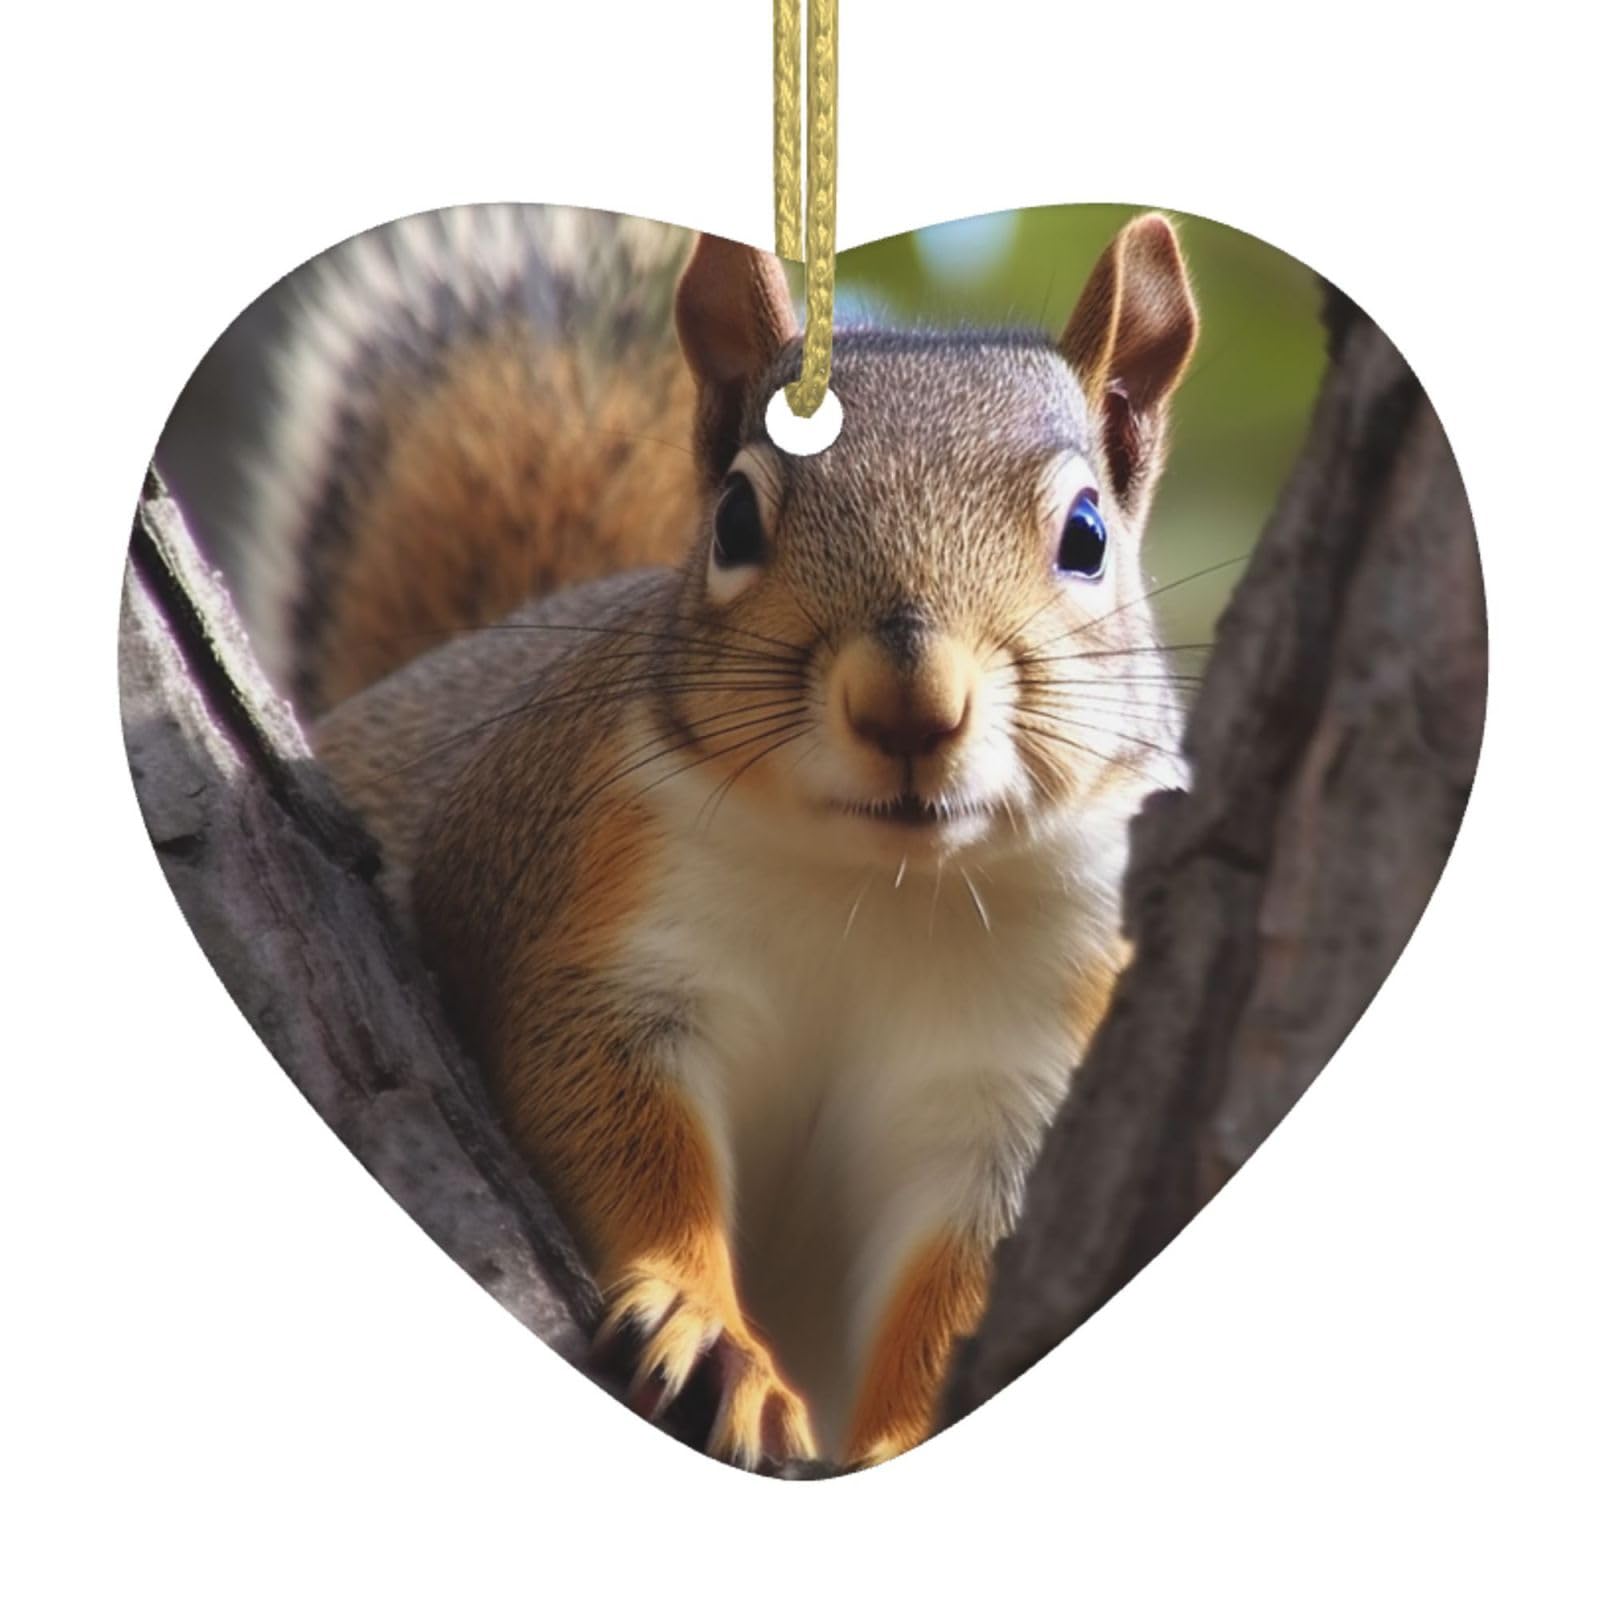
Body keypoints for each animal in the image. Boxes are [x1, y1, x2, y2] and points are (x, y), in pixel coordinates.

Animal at [240, 203, 1199, 1469]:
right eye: (735, 518)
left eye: (1086, 535)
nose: (908, 703)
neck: (879, 882)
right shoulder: (599, 930)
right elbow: (619, 1129)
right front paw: (710, 1334)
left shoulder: (1024, 1071)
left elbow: (960, 1276)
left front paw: (899, 1435)